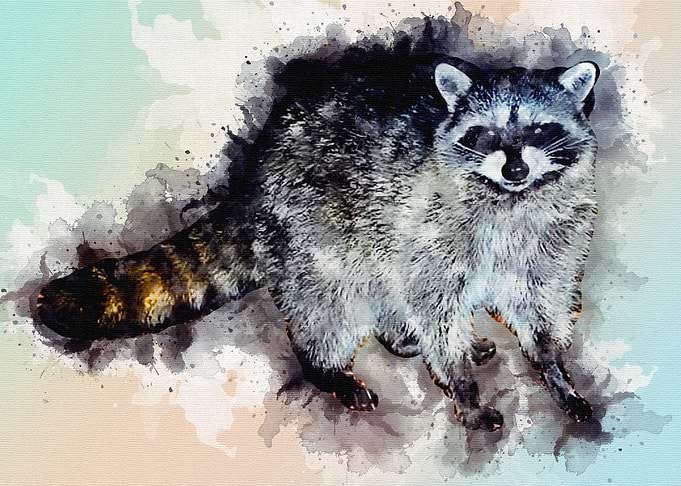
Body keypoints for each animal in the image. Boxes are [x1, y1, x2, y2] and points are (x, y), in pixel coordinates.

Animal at [36, 49, 599, 431]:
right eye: (484, 134)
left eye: (542, 130)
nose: (515, 167)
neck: (510, 200)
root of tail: (255, 172)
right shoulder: (434, 231)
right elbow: (435, 312)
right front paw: (465, 391)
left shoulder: (549, 244)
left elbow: (540, 310)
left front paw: (555, 372)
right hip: (317, 233)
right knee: (329, 307)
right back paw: (327, 367)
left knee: (384, 284)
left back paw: (395, 332)